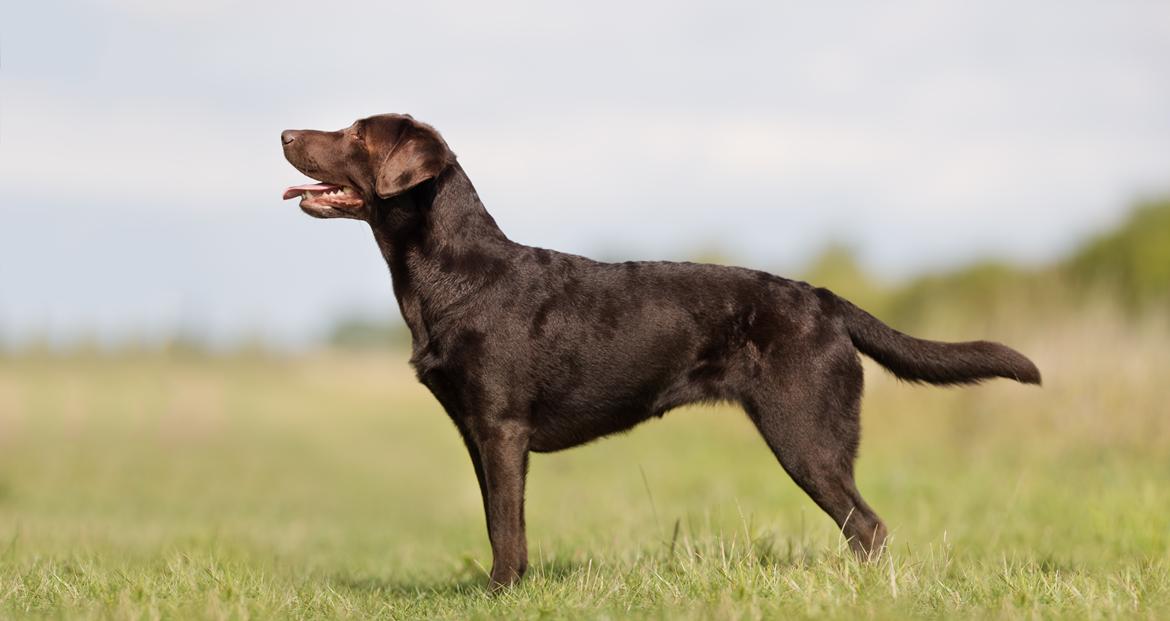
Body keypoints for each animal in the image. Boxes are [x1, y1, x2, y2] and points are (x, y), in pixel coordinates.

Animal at [283, 115, 1043, 587]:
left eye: (355, 133)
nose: (285, 132)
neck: (454, 273)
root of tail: (825, 300)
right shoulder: (478, 433)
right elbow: (502, 524)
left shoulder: (501, 429)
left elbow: (507, 529)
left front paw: (500, 595)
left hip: (806, 435)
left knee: (870, 526)